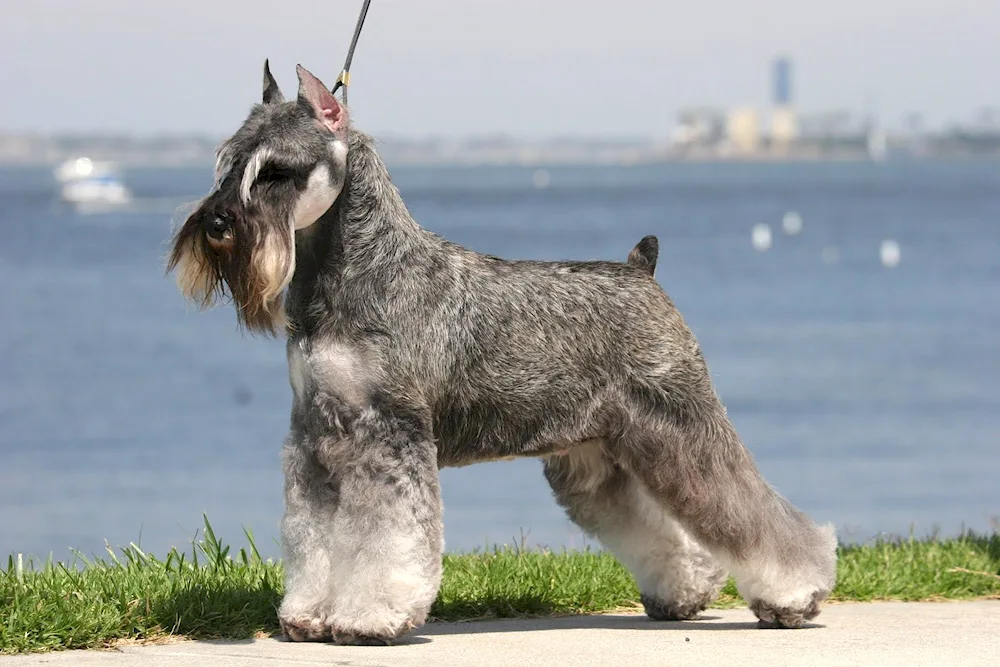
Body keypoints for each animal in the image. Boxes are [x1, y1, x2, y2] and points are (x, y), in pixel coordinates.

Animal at [168, 62, 840, 648]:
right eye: (228, 165)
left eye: (277, 172)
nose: (217, 223)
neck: (353, 272)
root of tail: (641, 271)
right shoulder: (313, 439)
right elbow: (313, 537)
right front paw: (306, 615)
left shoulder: (389, 437)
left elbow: (383, 540)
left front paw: (368, 618)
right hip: (598, 461)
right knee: (666, 526)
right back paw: (685, 594)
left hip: (682, 430)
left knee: (749, 510)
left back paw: (795, 595)